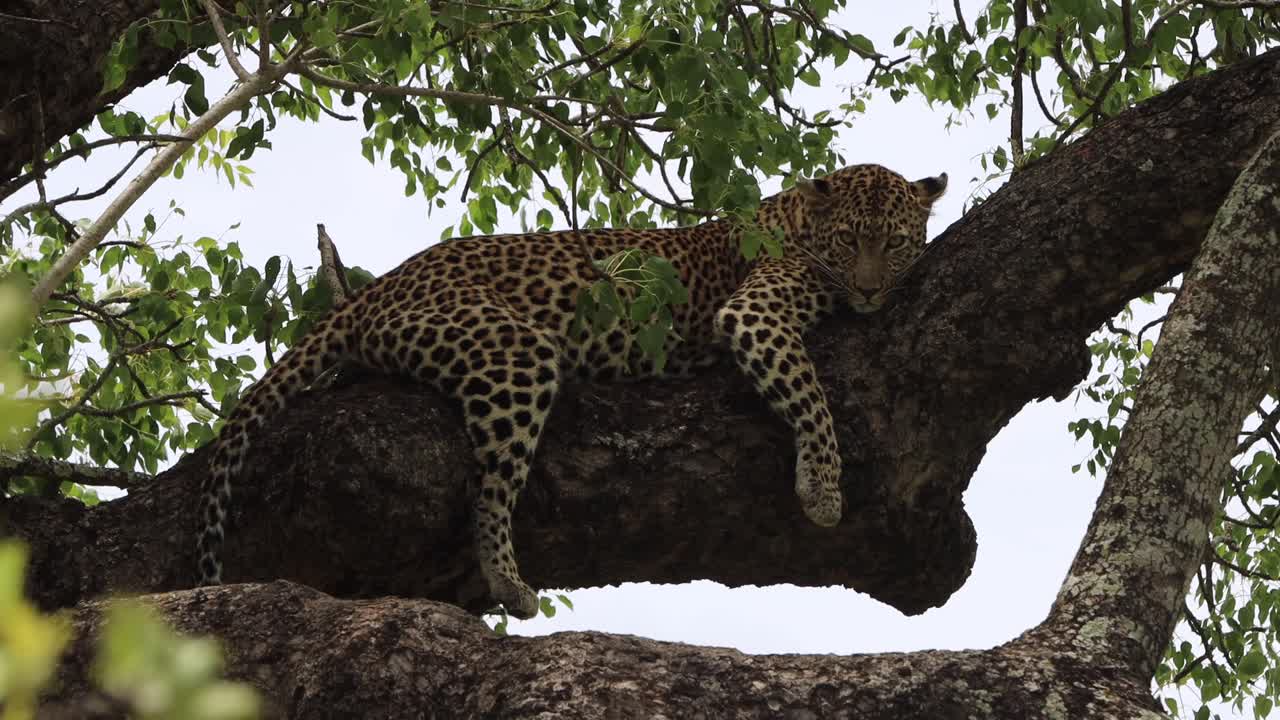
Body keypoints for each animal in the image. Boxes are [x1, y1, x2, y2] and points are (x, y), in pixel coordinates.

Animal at [195, 163, 948, 619]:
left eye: (897, 243)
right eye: (851, 241)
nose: (871, 290)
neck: (798, 218)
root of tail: (377, 288)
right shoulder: (754, 312)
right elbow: (811, 395)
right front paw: (822, 488)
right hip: (512, 350)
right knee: (488, 488)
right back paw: (509, 582)